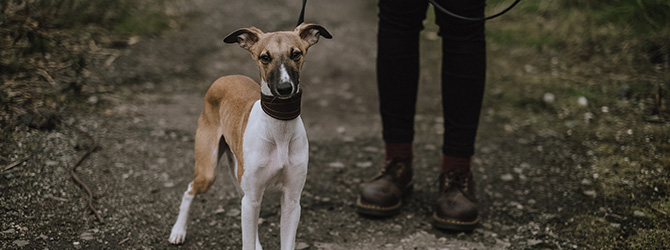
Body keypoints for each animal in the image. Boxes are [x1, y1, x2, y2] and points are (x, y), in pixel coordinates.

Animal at [169, 22, 332, 249]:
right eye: (265, 57)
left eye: (296, 54)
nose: (284, 88)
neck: (279, 128)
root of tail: (225, 77)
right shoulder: (253, 197)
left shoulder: (291, 201)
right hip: (209, 171)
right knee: (189, 190)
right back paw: (178, 231)